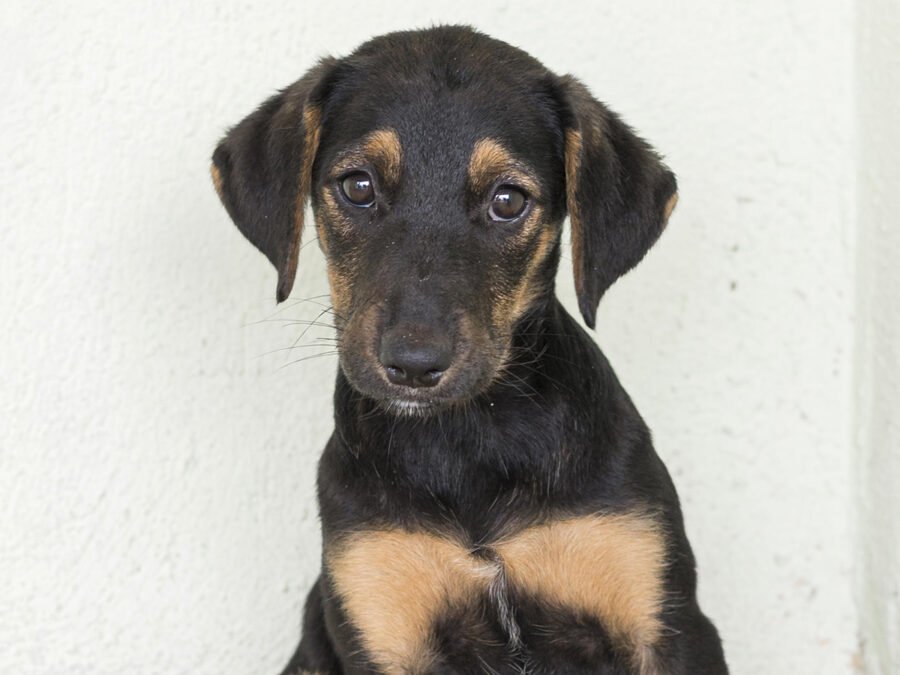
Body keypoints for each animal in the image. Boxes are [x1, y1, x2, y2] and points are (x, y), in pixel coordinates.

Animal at [211, 25, 727, 675]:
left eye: (508, 200)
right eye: (358, 187)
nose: (413, 363)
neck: (469, 438)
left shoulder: (666, 626)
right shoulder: (380, 621)